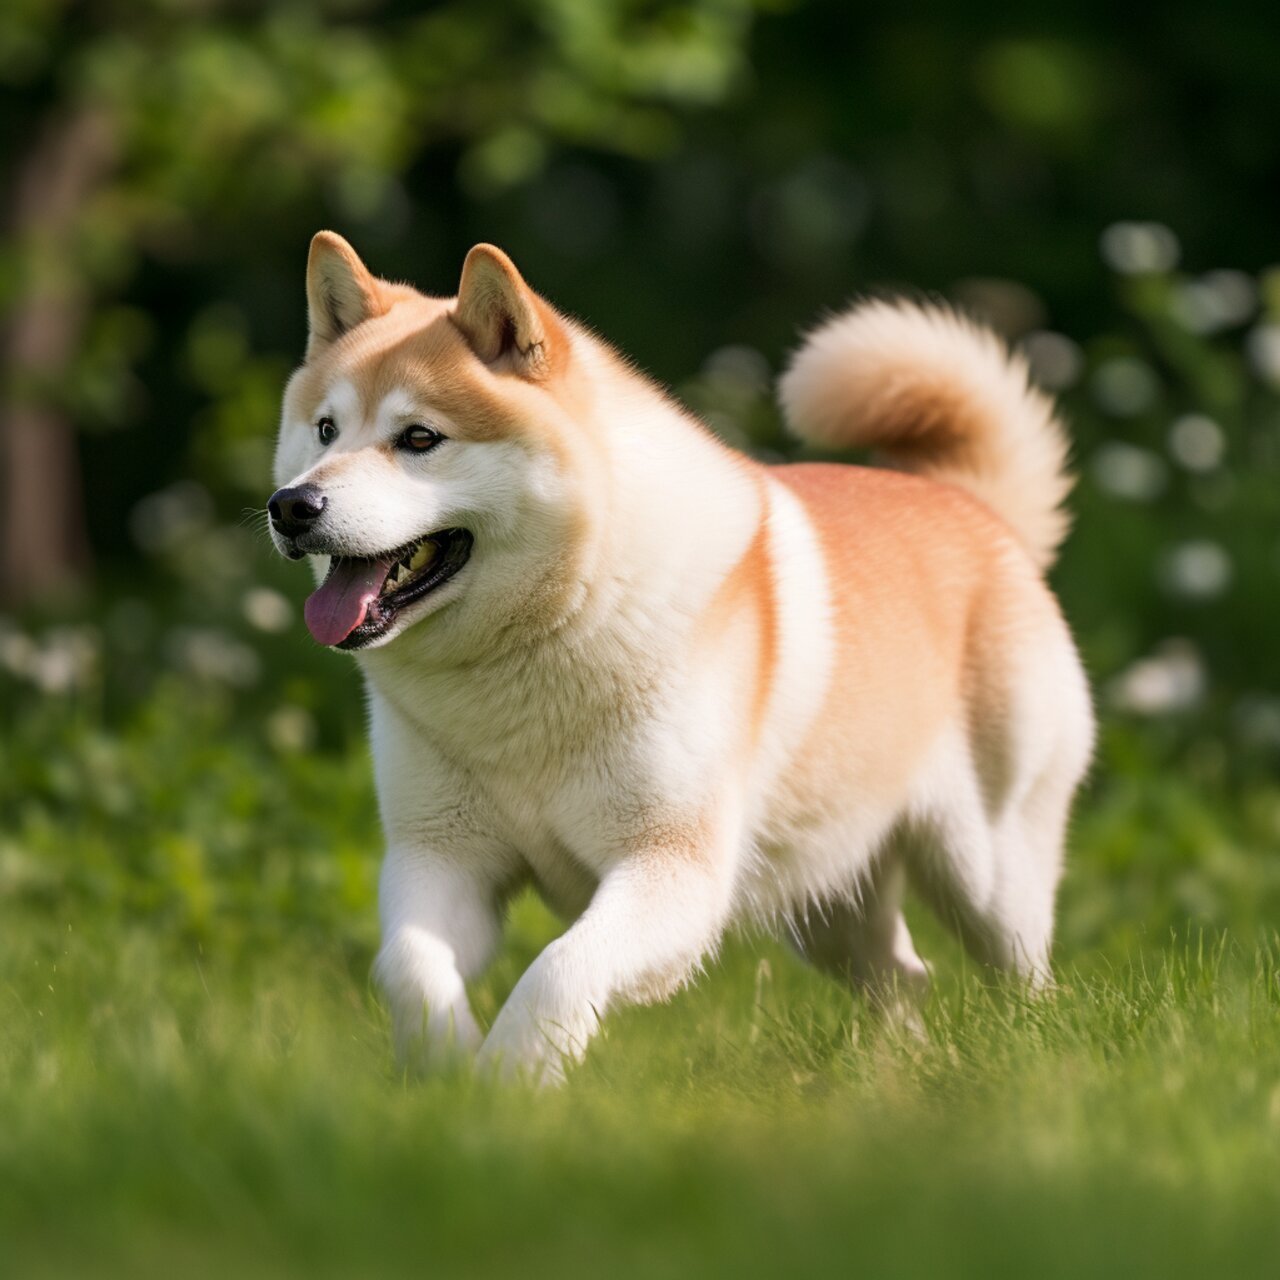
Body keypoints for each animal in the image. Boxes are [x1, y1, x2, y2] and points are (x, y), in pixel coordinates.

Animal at [267, 232, 1090, 1080]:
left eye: (420, 438)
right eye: (325, 430)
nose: (291, 507)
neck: (537, 645)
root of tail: (978, 511)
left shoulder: (672, 871)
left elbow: (560, 968)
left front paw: (515, 1074)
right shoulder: (439, 859)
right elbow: (409, 967)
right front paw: (447, 1067)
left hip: (987, 878)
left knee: (1026, 984)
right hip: (826, 898)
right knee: (903, 979)